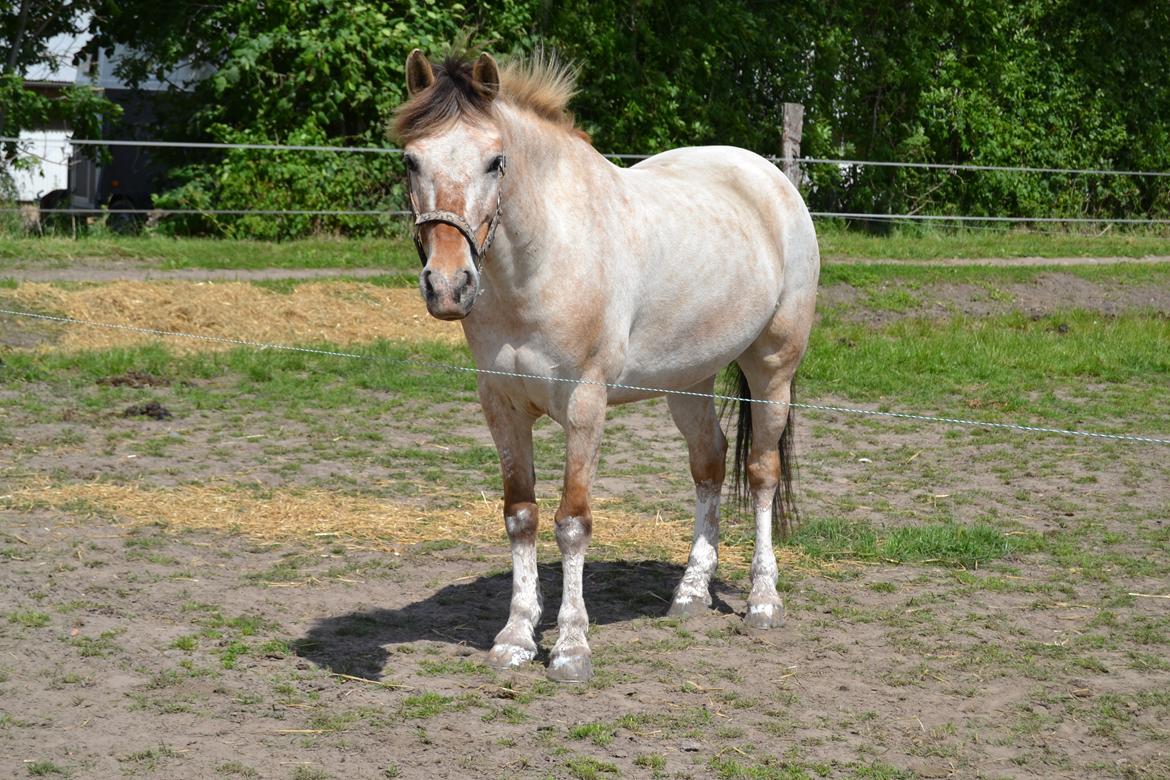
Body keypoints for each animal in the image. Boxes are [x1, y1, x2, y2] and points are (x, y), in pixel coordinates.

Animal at [397, 48, 819, 682]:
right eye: (410, 159)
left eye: (496, 161)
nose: (448, 286)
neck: (542, 261)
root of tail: (772, 181)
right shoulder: (501, 404)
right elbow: (520, 514)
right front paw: (515, 637)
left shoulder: (584, 404)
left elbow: (573, 522)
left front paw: (571, 648)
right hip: (688, 382)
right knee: (710, 465)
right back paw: (690, 594)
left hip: (773, 368)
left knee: (762, 473)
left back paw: (763, 602)